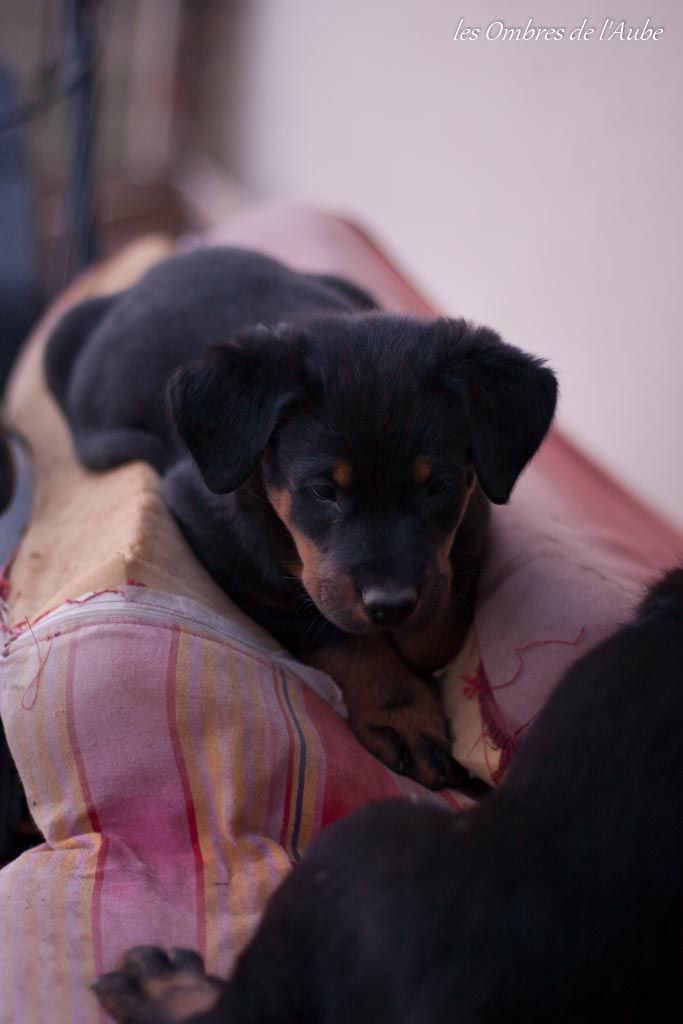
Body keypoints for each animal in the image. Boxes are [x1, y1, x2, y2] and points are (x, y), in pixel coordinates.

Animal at [45, 247, 557, 788]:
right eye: (324, 491)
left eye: (436, 486)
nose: (391, 605)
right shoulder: (214, 529)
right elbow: (331, 630)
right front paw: (400, 711)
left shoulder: (471, 521)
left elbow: (446, 610)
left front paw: (420, 650)